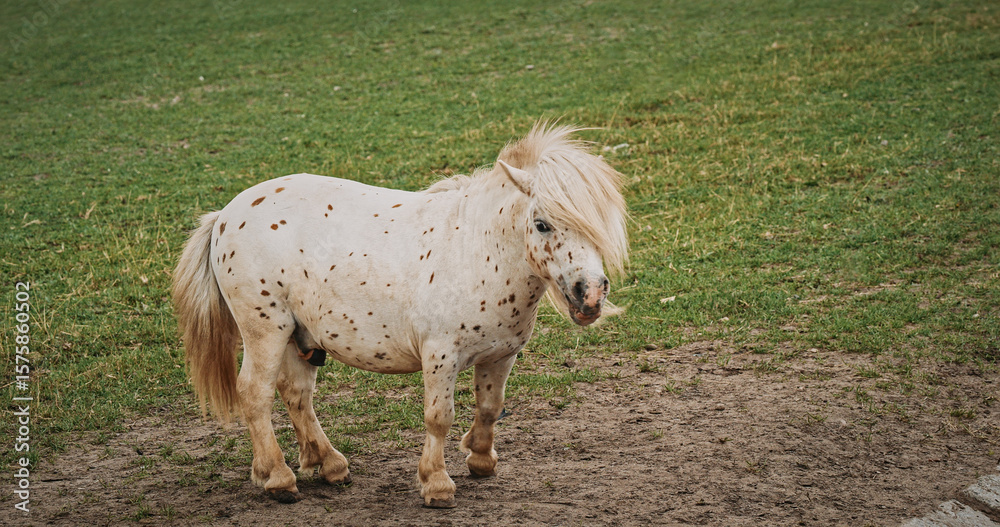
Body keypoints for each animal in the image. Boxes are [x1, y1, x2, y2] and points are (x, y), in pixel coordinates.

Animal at [171, 122, 629, 508]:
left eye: (599, 224)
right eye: (542, 224)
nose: (590, 295)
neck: (478, 251)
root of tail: (224, 216)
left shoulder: (502, 354)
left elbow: (489, 407)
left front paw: (481, 460)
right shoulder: (440, 355)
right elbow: (439, 418)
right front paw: (437, 483)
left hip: (296, 335)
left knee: (296, 393)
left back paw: (326, 464)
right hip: (265, 330)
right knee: (255, 393)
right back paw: (278, 477)